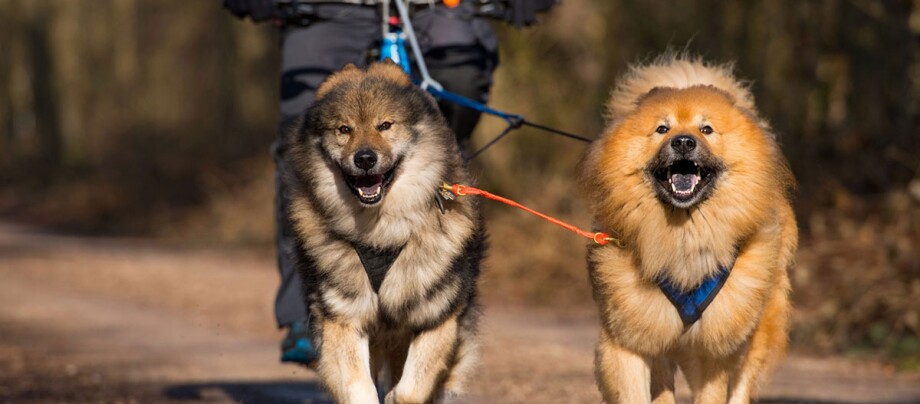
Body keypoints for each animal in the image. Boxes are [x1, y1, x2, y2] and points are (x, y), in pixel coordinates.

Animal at [282, 62, 486, 400]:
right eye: (344, 129)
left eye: (385, 125)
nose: (365, 158)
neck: (381, 233)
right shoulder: (343, 316)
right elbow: (358, 387)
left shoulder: (437, 318)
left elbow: (409, 390)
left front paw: (395, 396)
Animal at [584, 55, 796, 402]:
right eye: (662, 128)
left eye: (706, 128)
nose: (683, 141)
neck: (683, 236)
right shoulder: (629, 334)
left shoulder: (714, 346)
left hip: (760, 319)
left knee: (743, 381)